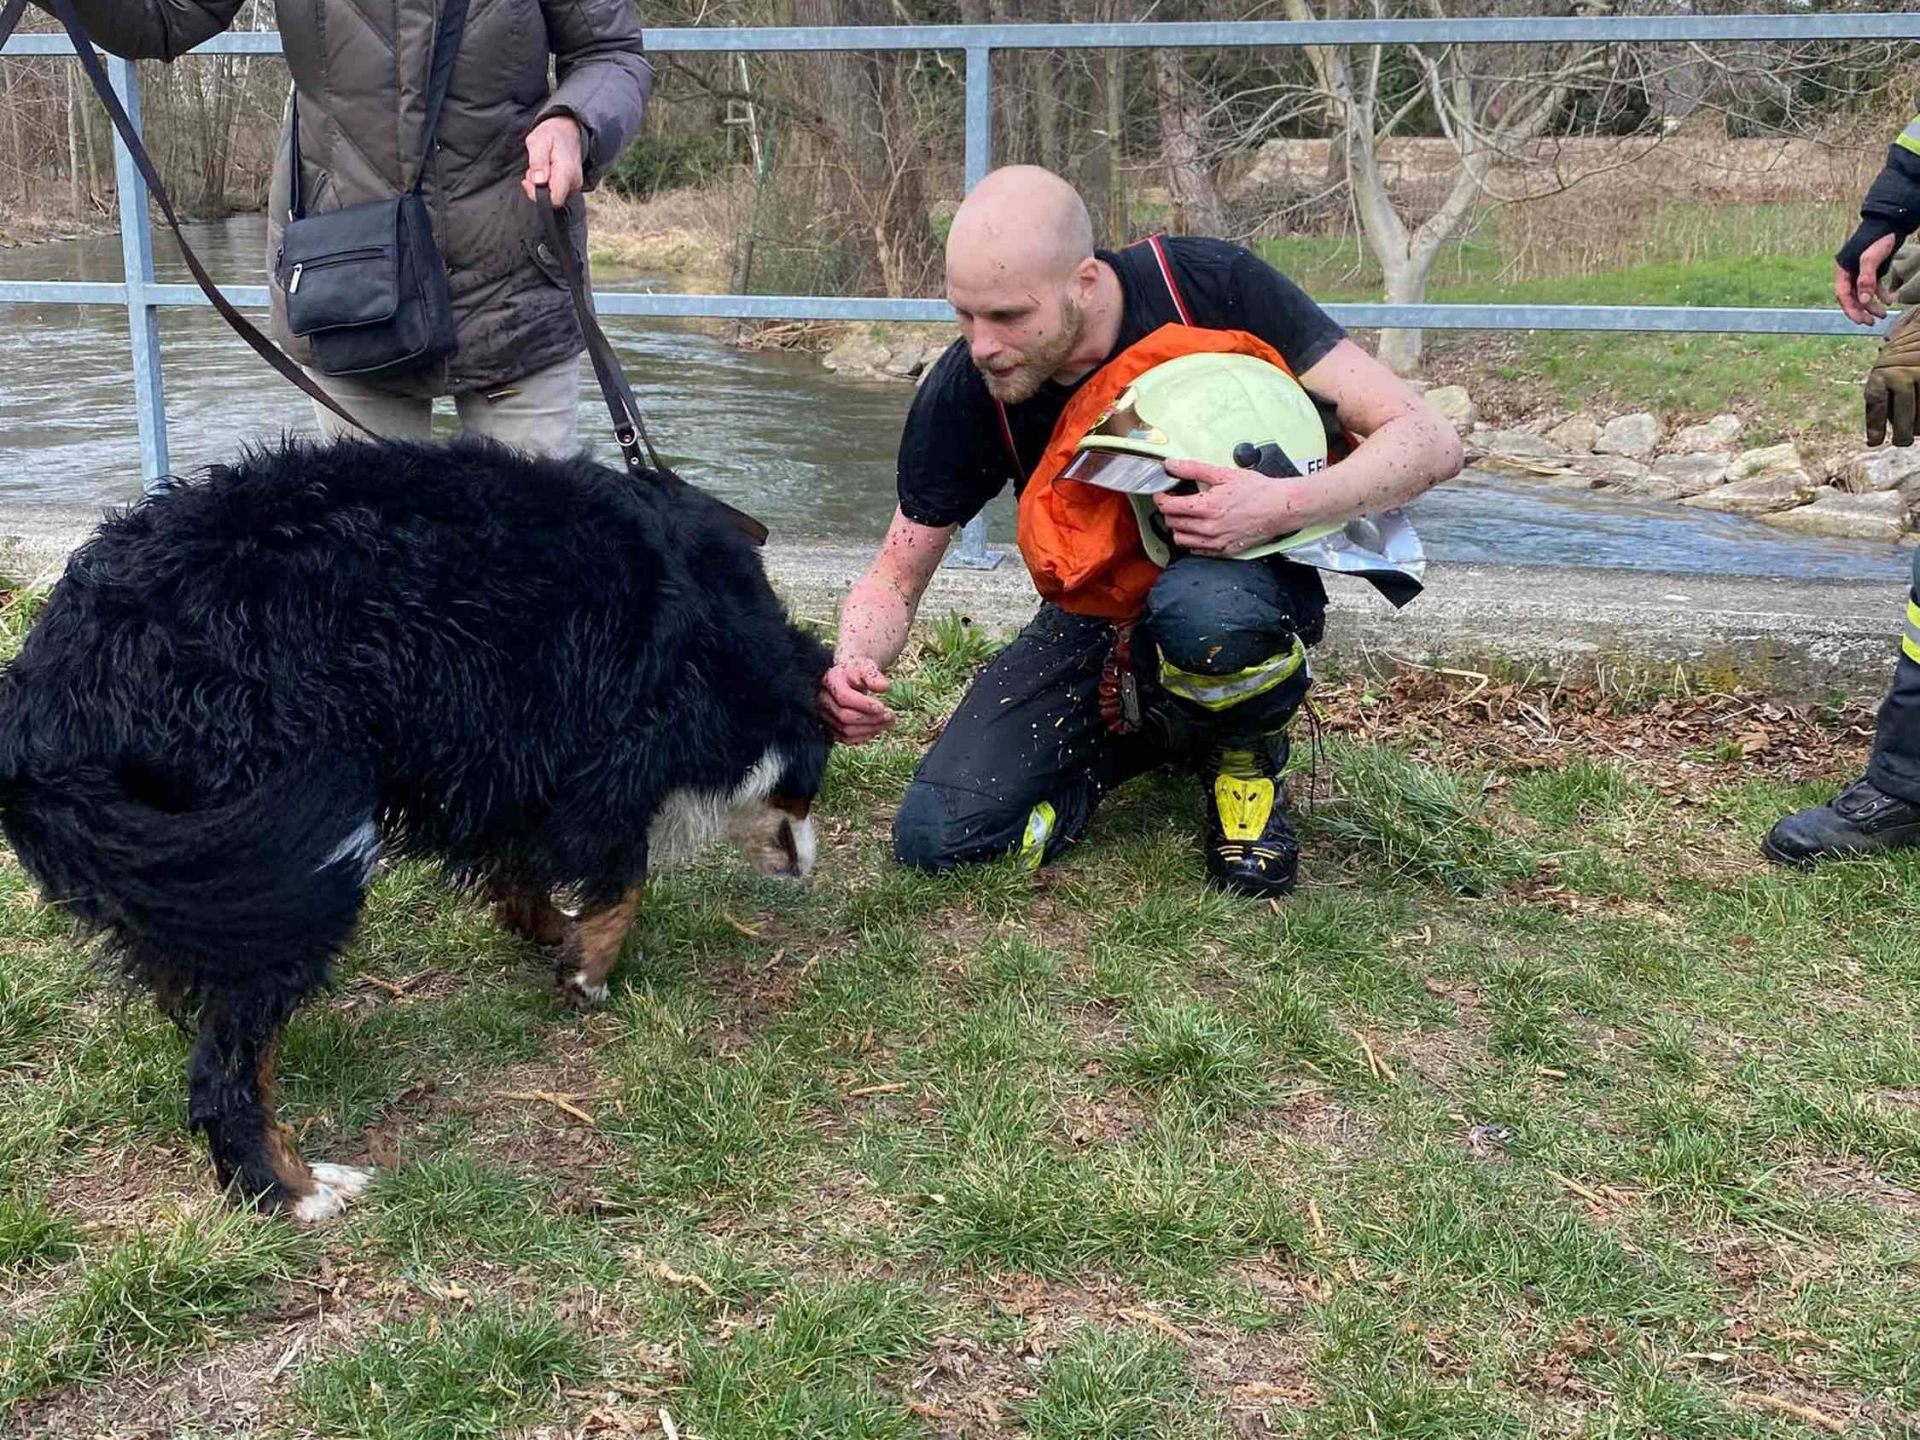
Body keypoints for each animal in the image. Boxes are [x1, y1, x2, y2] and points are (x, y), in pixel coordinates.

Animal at [0, 433, 833, 1221]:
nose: (810, 864)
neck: (728, 637)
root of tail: (52, 685)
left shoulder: (514, 753)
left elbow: (522, 865)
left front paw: (550, 931)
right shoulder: (614, 746)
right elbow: (623, 874)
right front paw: (589, 968)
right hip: (287, 843)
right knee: (225, 1069)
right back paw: (292, 1189)